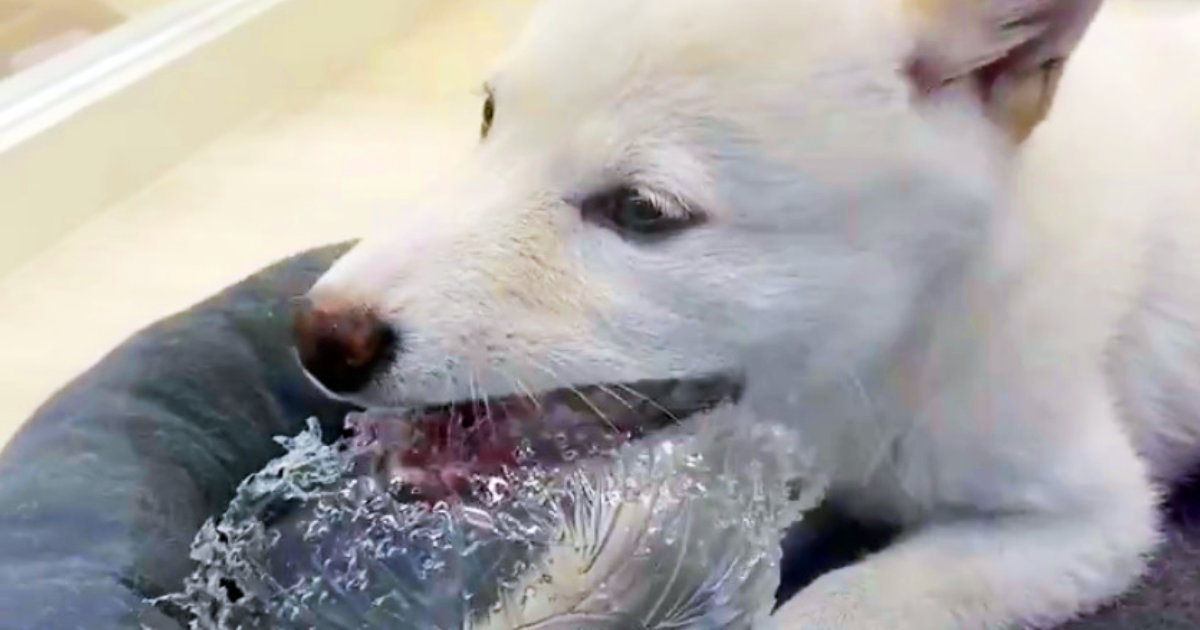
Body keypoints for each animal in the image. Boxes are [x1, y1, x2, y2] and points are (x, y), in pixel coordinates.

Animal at [295, 2, 1200, 624]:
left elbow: (841, 602)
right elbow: (602, 566)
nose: (319, 338)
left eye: (643, 212)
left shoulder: (1088, 520)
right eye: (489, 116)